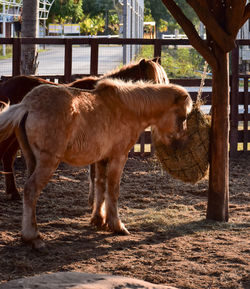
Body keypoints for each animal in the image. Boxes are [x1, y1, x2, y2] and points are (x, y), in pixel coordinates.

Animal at [0, 78, 192, 248]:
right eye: (182, 117)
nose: (181, 144)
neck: (126, 108)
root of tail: (27, 105)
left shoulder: (101, 160)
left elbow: (100, 185)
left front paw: (99, 220)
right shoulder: (118, 157)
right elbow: (113, 190)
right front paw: (116, 225)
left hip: (32, 160)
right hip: (48, 163)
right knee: (31, 190)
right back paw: (33, 237)